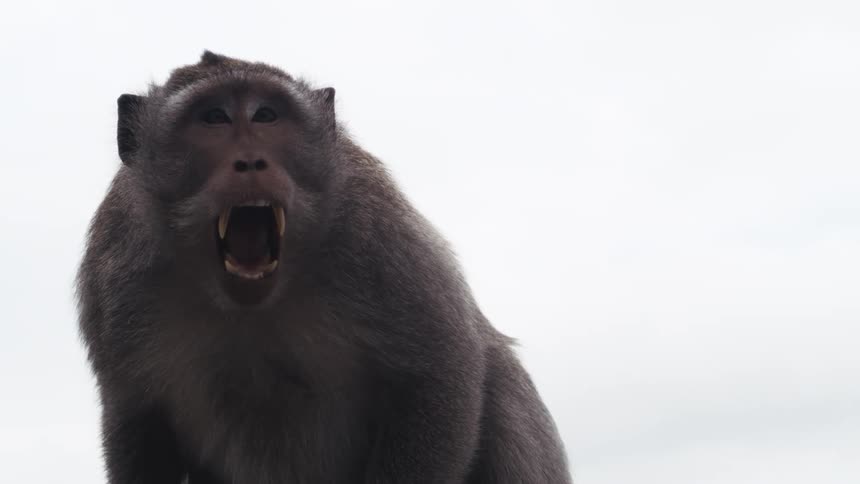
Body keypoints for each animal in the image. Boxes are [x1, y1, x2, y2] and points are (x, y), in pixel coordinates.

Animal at [76, 51, 571, 484]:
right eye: (214, 117)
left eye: (266, 116)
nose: (251, 161)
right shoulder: (114, 275)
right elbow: (137, 421)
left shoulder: (377, 231)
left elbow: (439, 371)